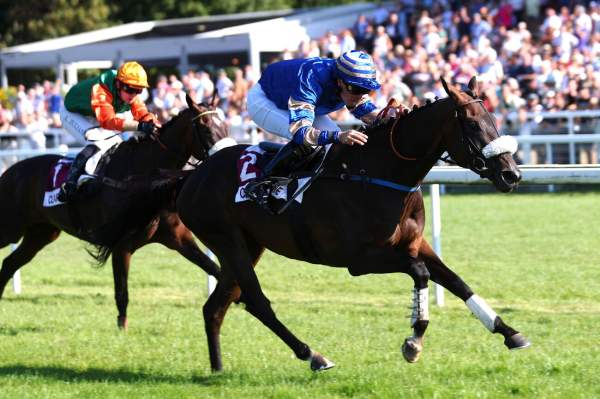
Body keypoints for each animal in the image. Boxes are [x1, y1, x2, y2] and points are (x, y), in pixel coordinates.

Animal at [0, 95, 230, 330]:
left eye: (225, 124)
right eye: (204, 126)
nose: (225, 158)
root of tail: (10, 170)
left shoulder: (178, 238)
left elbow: (215, 268)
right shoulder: (121, 245)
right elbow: (122, 292)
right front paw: (122, 328)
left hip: (41, 234)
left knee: (9, 264)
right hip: (10, 228)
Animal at [177, 77, 528, 372]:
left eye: (494, 120)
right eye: (472, 124)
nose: (511, 174)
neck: (377, 172)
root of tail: (192, 176)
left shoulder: (415, 243)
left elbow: (457, 281)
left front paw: (508, 331)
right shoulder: (359, 260)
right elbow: (421, 273)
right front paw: (414, 339)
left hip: (249, 245)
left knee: (215, 306)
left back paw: (218, 368)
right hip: (227, 240)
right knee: (256, 301)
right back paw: (313, 355)